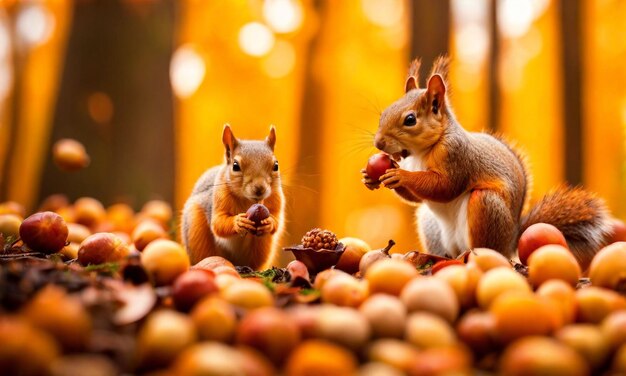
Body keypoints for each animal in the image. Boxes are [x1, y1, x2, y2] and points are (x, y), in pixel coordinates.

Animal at [180, 125, 286, 268]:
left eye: (276, 165)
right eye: (235, 166)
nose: (260, 189)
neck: (248, 201)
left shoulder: (276, 197)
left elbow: (277, 220)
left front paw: (269, 222)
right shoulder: (219, 197)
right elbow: (218, 223)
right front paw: (238, 222)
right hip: (196, 231)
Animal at [360, 55, 608, 268]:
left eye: (410, 119)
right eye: (384, 114)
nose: (379, 143)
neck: (422, 152)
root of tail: (510, 242)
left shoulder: (457, 156)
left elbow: (444, 186)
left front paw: (401, 175)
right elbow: (417, 197)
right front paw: (370, 178)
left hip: (485, 207)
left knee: (482, 247)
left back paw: (465, 257)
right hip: (429, 222)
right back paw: (434, 257)